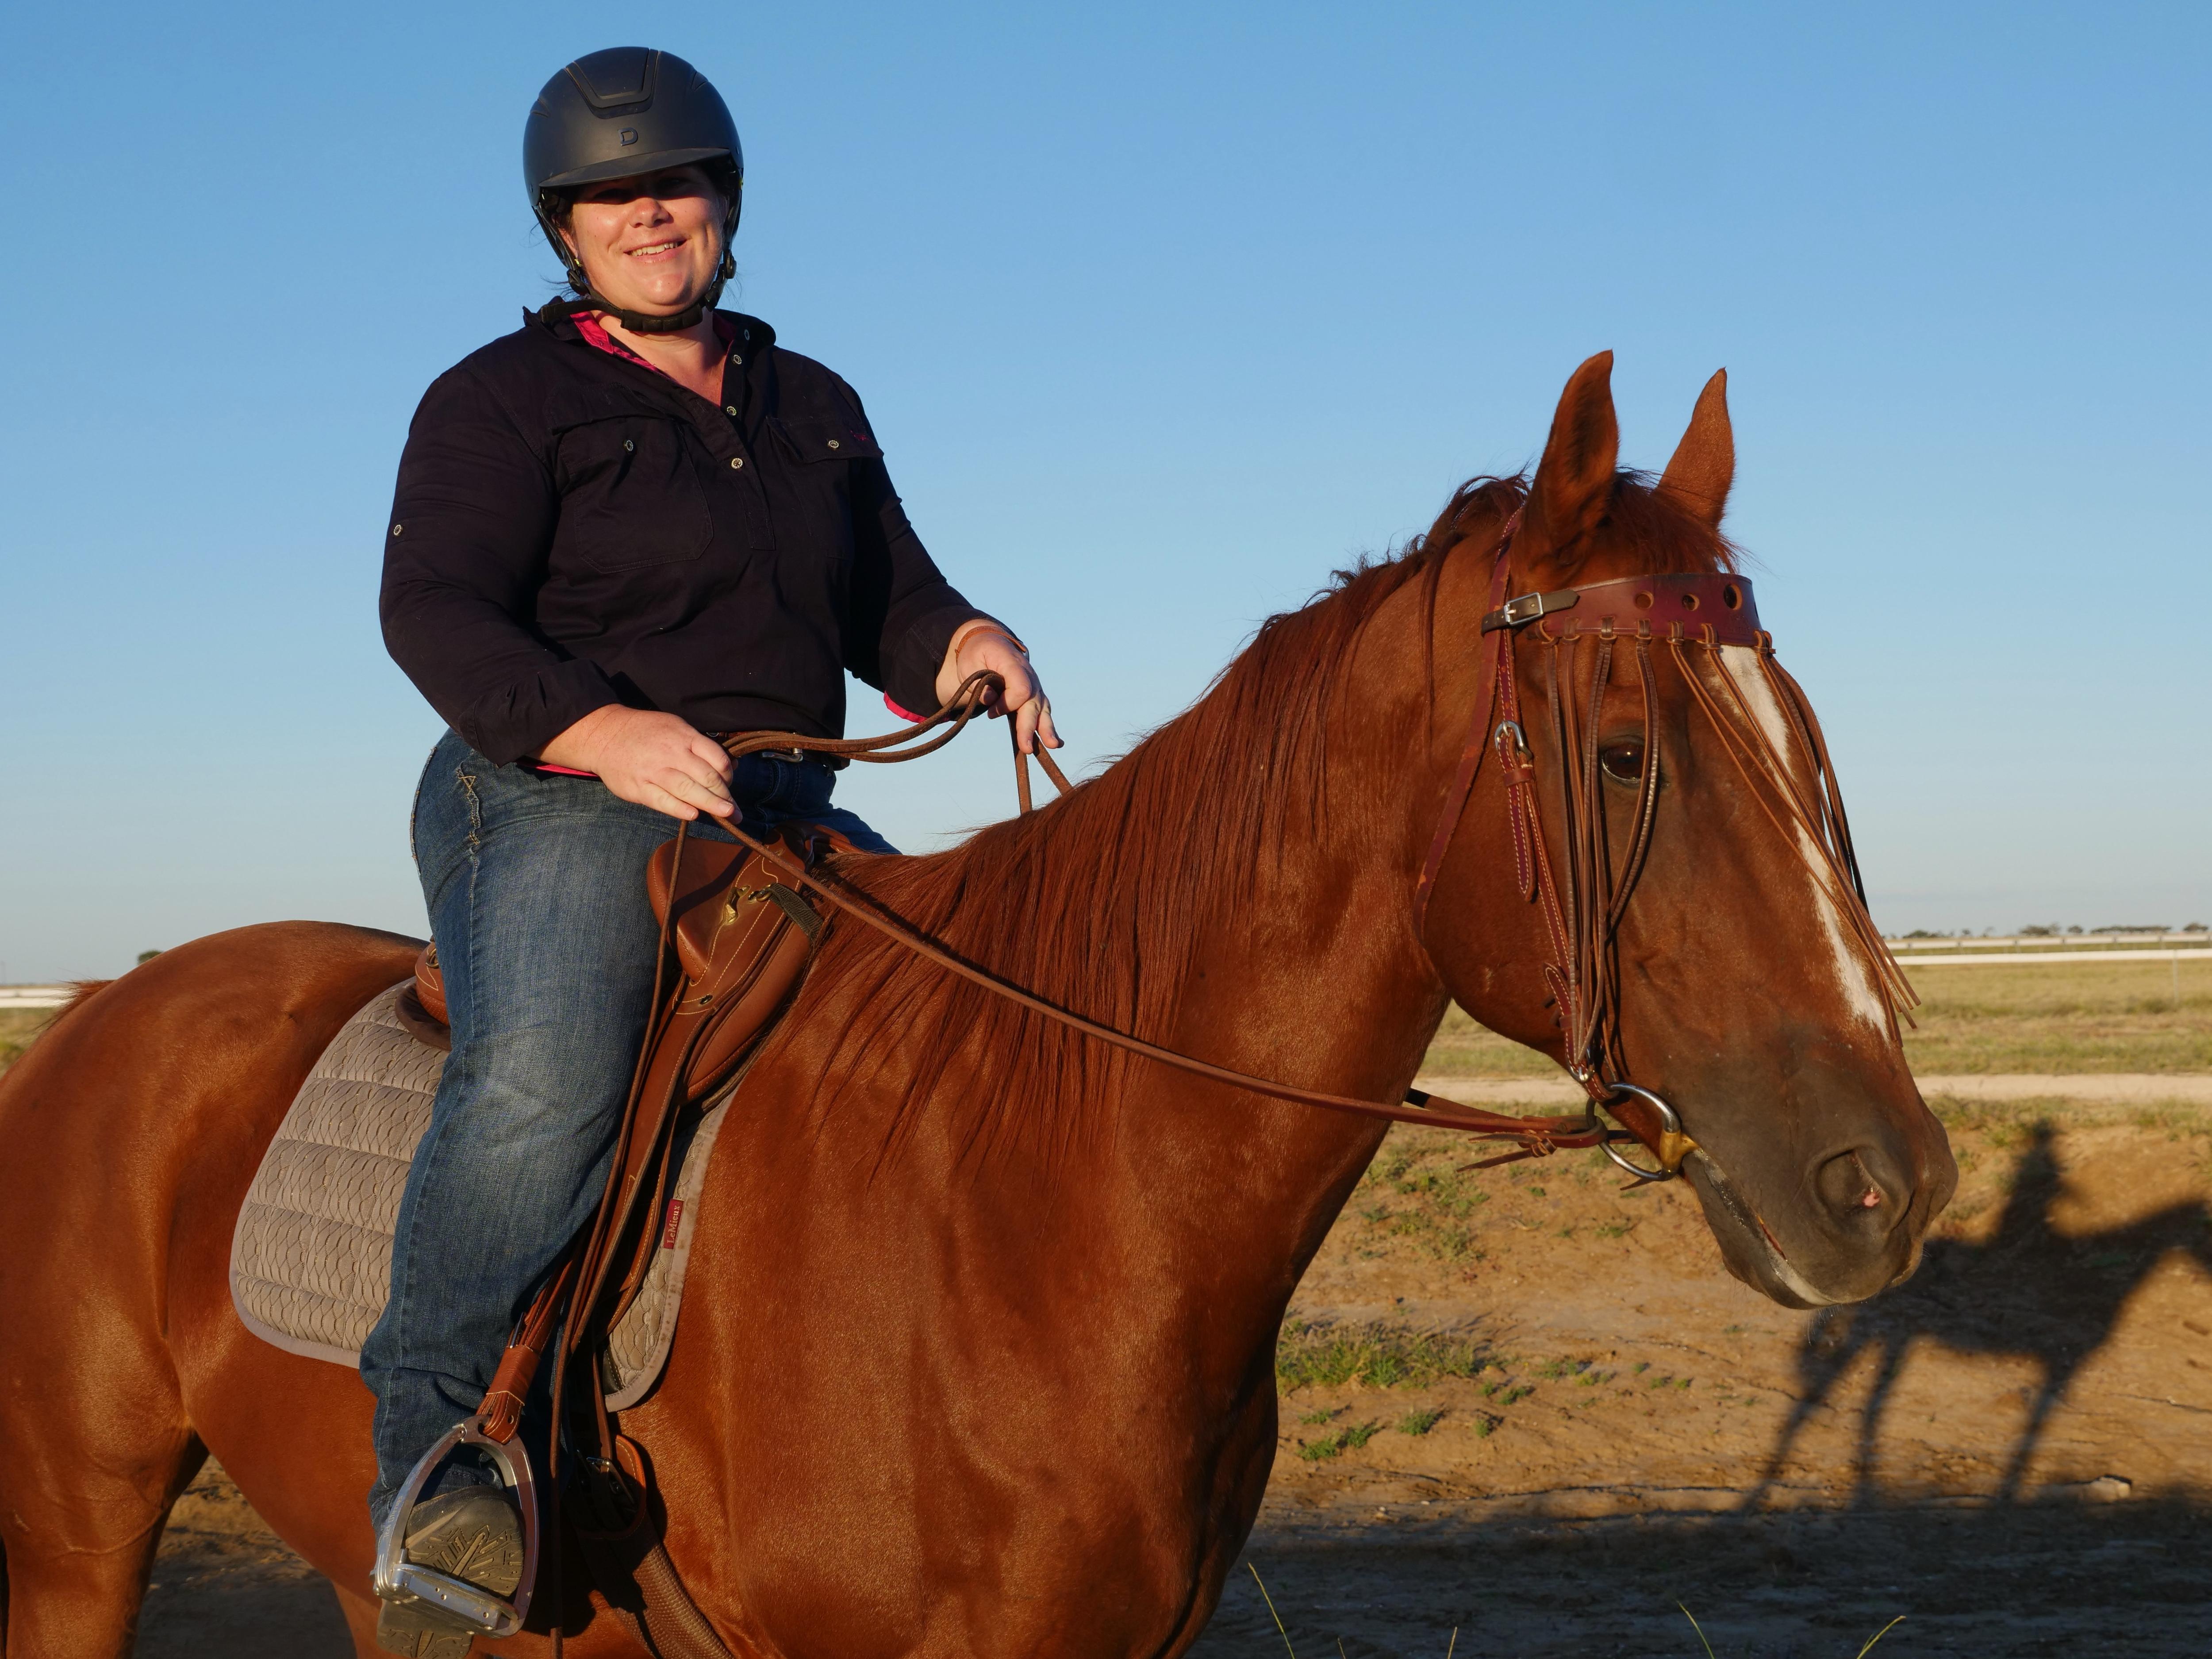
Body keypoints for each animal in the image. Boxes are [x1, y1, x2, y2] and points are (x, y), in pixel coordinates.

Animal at [0, 353, 1956, 1657]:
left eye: (1802, 733)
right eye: (1623, 751)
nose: (1886, 1184)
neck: (1046, 1189)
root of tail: (100, 1006)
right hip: (80, 1543)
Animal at [1749, 1120, 2212, 1507]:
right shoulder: (2062, 1366)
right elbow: (2033, 1430)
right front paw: (2008, 1497)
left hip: (1892, 1344)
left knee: (1867, 1406)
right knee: (1814, 1405)